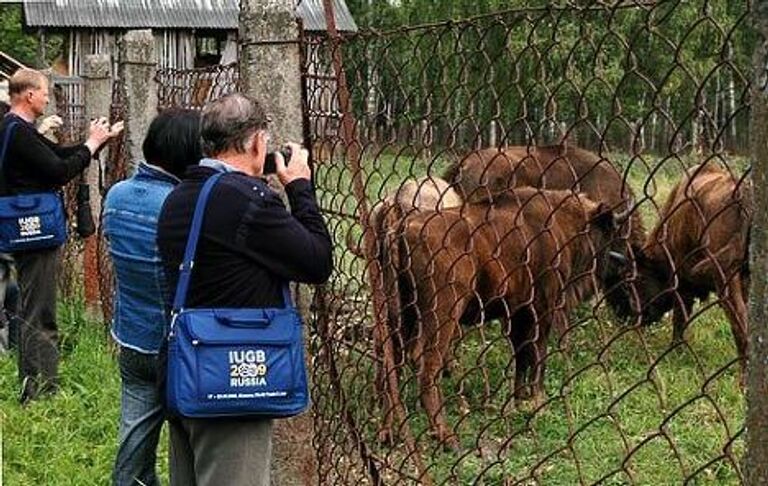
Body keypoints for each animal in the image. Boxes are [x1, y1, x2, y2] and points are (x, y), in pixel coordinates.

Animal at [380, 186, 628, 448]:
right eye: (609, 230)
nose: (620, 262)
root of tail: (402, 229)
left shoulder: (518, 312)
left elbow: (522, 354)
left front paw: (520, 398)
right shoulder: (543, 308)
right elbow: (538, 353)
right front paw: (539, 402)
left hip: (398, 313)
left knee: (392, 360)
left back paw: (387, 432)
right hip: (442, 314)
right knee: (425, 361)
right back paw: (446, 435)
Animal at [608, 161, 752, 370]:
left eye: (633, 280)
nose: (634, 315)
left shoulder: (683, 283)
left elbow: (679, 319)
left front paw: (676, 350)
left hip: (726, 279)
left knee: (740, 325)